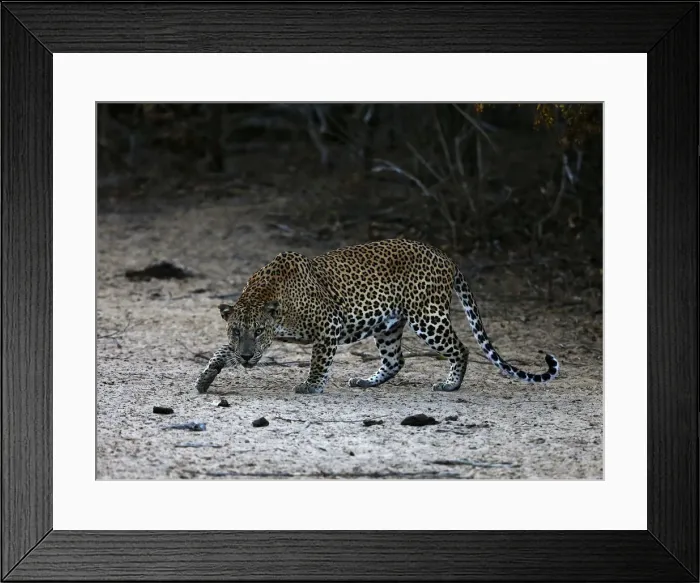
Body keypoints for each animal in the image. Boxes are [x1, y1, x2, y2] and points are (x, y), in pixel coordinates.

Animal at [195, 238, 559, 395]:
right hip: (388, 325)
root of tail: (445, 257)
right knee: (396, 359)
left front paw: (311, 386)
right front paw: (206, 376)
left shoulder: (329, 326)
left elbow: (318, 361)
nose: (247, 356)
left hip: (428, 317)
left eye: (258, 331)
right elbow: (220, 352)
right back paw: (366, 381)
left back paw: (450, 384)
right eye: (237, 331)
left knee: (462, 348)